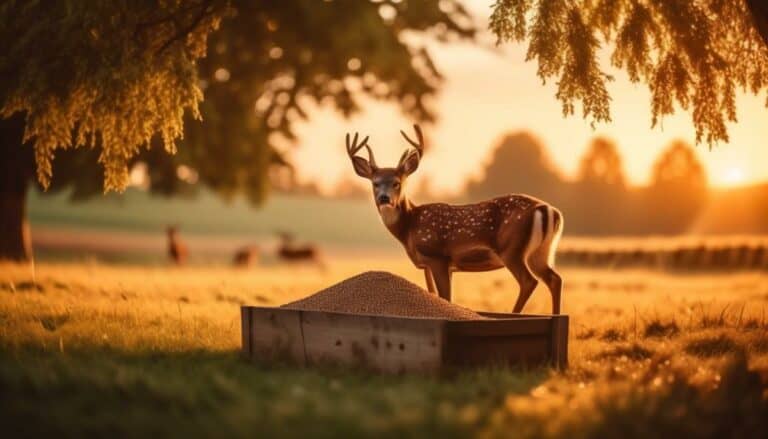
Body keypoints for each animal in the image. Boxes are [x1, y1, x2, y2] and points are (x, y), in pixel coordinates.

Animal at [346, 125, 564, 314]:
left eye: (396, 183)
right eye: (375, 183)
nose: (384, 198)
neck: (409, 228)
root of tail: (548, 209)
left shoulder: (438, 256)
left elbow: (445, 297)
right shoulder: (429, 264)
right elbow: (435, 296)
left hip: (512, 248)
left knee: (529, 281)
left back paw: (513, 314)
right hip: (540, 252)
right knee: (554, 279)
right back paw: (555, 316)